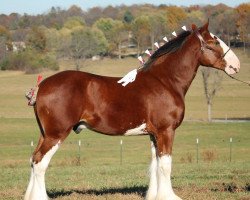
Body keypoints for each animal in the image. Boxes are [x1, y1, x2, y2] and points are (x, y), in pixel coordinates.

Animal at [23, 21, 240, 200]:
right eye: (214, 42)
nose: (236, 65)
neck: (165, 81)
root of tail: (42, 86)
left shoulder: (154, 135)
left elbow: (155, 165)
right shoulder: (166, 131)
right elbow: (165, 165)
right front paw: (168, 197)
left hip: (45, 134)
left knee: (33, 160)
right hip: (56, 134)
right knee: (40, 163)